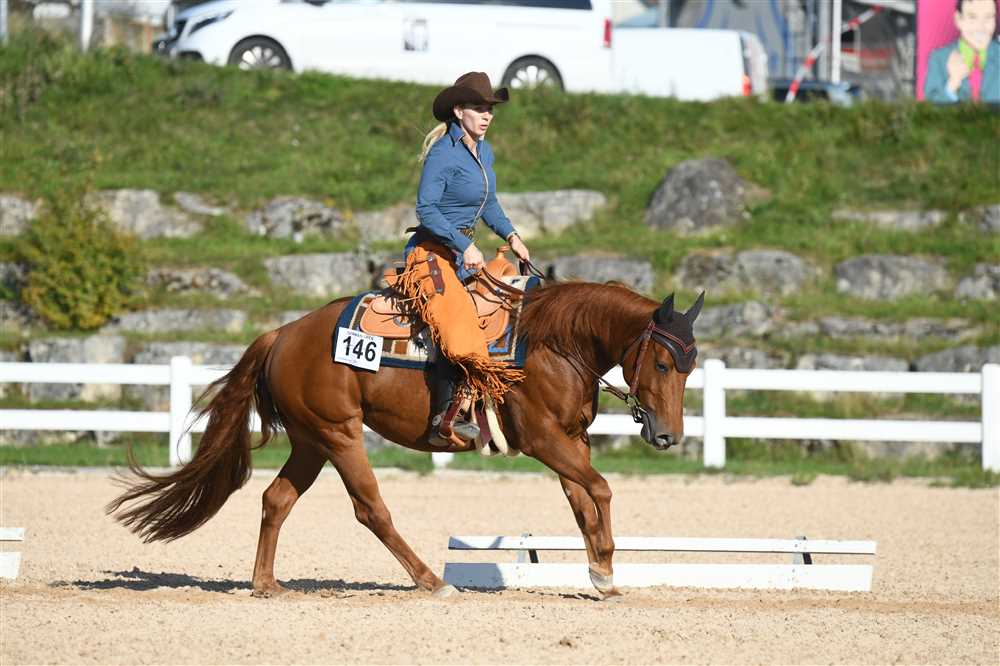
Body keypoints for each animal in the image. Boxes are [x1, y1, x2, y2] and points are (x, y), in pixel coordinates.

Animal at [107, 280, 703, 599]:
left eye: (691, 367)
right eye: (663, 362)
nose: (668, 435)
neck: (555, 344)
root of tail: (283, 333)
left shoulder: (572, 442)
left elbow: (583, 500)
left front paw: (601, 572)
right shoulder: (543, 440)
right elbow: (601, 489)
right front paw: (606, 565)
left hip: (311, 442)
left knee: (276, 499)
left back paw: (266, 584)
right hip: (340, 435)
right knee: (371, 509)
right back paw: (430, 581)